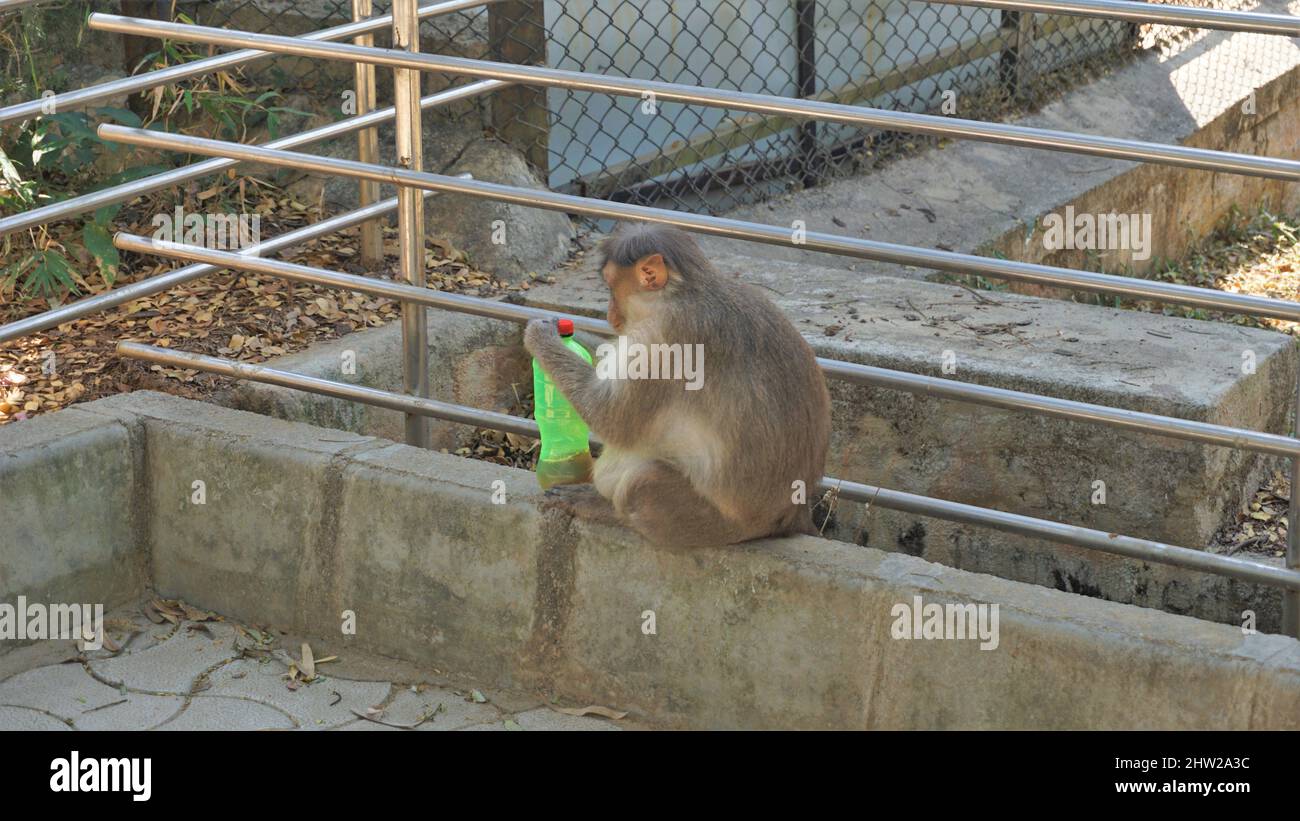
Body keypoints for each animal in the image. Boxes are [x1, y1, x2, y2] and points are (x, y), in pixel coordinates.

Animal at [522, 220, 826, 548]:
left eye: (611, 286)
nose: (610, 314)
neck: (682, 292)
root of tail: (791, 515)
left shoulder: (665, 338)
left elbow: (612, 420)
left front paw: (539, 336)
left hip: (714, 522)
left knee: (643, 478)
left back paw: (605, 508)